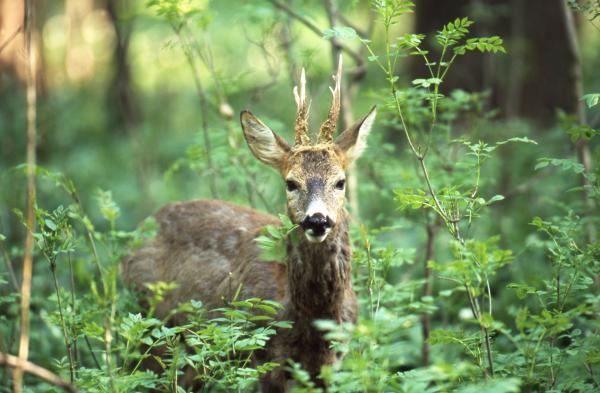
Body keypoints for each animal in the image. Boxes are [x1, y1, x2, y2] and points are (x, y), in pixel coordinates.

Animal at [122, 54, 378, 388]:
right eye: (291, 183)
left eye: (341, 182)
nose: (317, 220)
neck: (311, 320)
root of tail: (140, 230)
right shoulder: (262, 357)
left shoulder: (333, 363)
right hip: (150, 325)